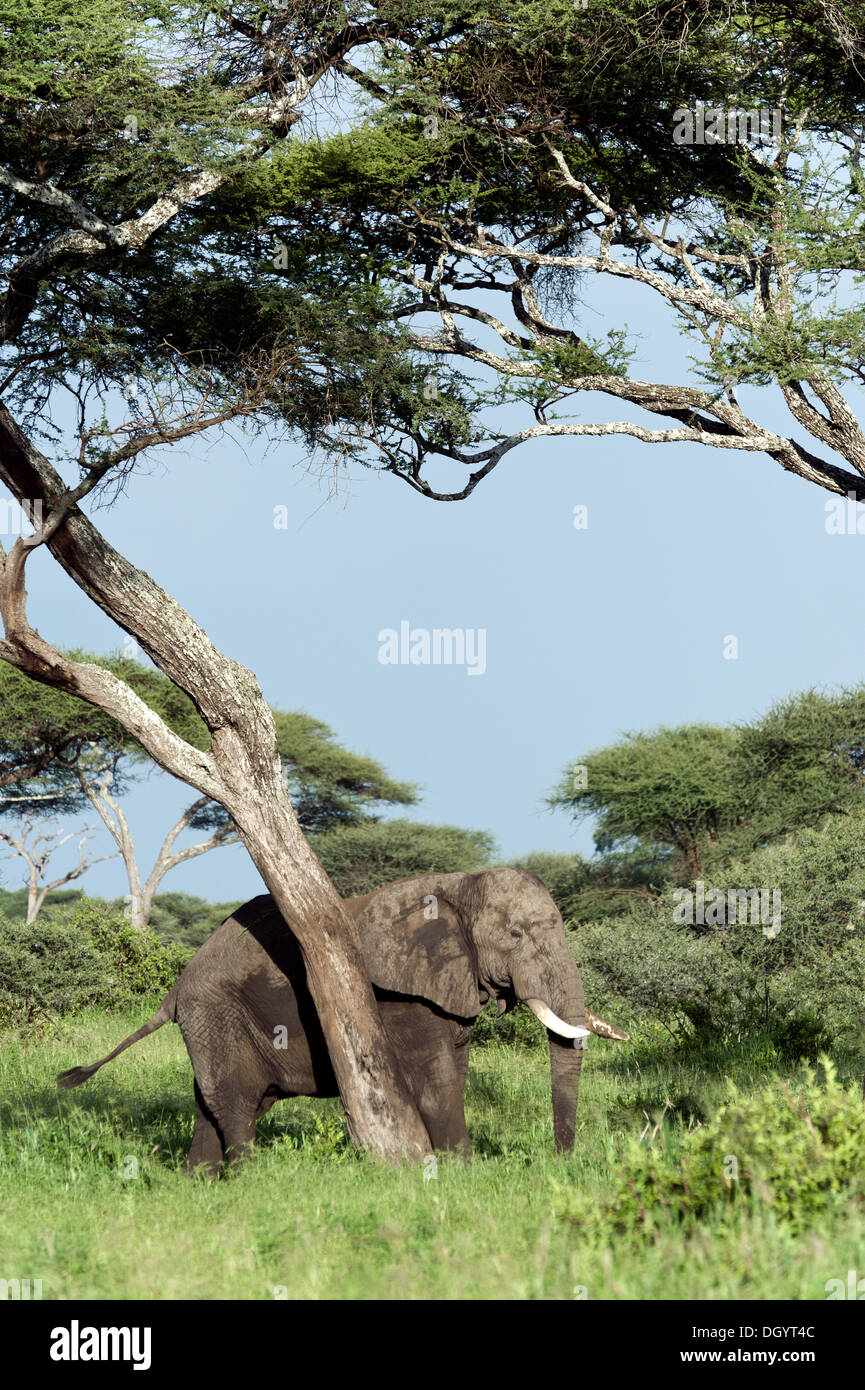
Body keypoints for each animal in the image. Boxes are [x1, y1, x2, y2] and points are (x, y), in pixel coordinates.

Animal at [59, 867, 631, 1173]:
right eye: (515, 935)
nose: (560, 1162)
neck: (457, 885)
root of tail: (175, 988)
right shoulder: (397, 995)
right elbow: (435, 1083)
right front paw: (458, 1176)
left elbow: (457, 1072)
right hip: (213, 1010)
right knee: (235, 1101)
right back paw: (249, 1182)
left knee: (212, 1104)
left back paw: (198, 1183)